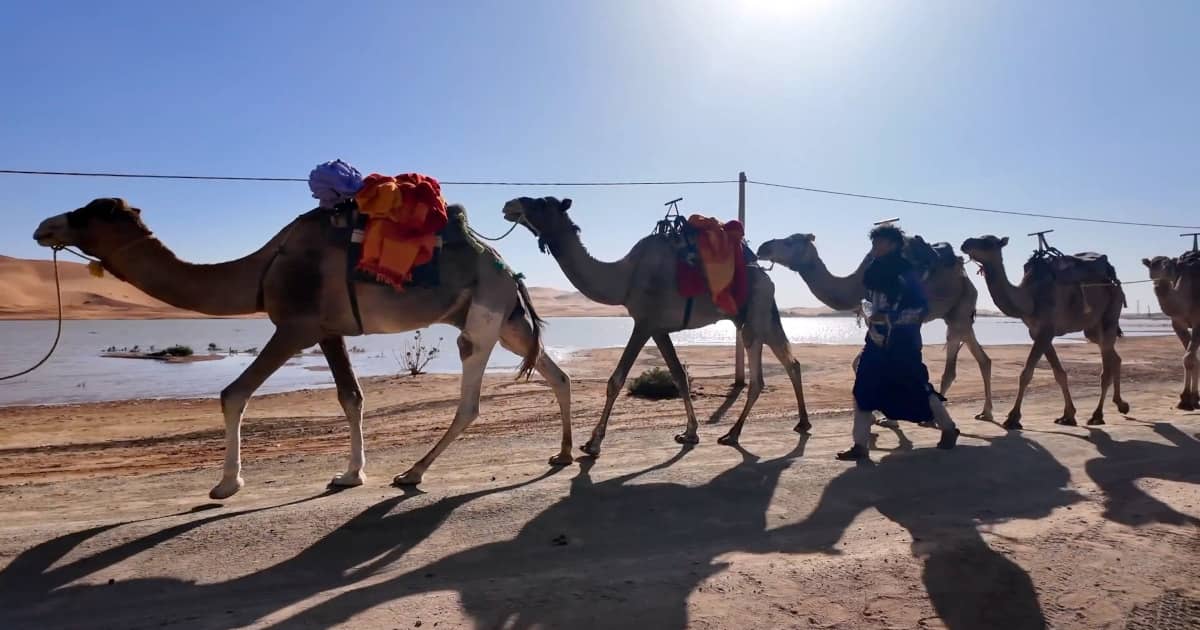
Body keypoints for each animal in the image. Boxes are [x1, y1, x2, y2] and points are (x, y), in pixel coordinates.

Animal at [35, 196, 578, 496]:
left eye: (90, 213)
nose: (44, 226)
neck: (263, 268)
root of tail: (507, 266)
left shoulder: (294, 325)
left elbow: (233, 394)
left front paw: (226, 484)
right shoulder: (328, 329)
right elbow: (351, 397)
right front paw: (350, 475)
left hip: (482, 318)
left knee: (471, 400)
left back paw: (412, 473)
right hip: (504, 320)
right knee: (556, 374)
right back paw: (564, 454)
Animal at [496, 195, 806, 446]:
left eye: (541, 202)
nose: (509, 204)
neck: (625, 276)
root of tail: (763, 273)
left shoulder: (643, 322)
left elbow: (616, 380)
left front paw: (593, 442)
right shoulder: (659, 328)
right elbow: (679, 376)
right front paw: (690, 432)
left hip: (753, 315)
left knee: (761, 377)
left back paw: (734, 433)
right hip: (758, 315)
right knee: (790, 362)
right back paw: (800, 422)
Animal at [758, 232, 993, 420]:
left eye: (790, 241)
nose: (763, 247)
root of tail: (965, 276)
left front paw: (886, 417)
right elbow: (858, 363)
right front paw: (877, 415)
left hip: (961, 310)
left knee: (954, 363)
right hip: (956, 315)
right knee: (978, 360)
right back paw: (983, 411)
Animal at [960, 232, 1128, 429]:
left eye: (988, 242)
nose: (965, 243)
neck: (1030, 298)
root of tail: (1114, 280)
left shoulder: (1046, 331)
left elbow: (1026, 373)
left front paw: (1013, 418)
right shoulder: (1037, 333)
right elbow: (1059, 374)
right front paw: (1068, 415)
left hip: (1111, 313)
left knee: (1106, 369)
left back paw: (1097, 415)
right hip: (1092, 328)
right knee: (1114, 356)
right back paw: (1121, 404)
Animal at [1142, 254, 1200, 408]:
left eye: (1169, 262)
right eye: (1153, 263)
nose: (1166, 267)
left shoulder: (1199, 322)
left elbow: (1189, 358)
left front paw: (1190, 398)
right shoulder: (1177, 324)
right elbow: (1191, 358)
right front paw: (1187, 398)